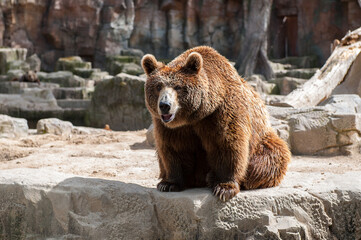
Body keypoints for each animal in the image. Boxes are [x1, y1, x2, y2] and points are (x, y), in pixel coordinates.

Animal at [141, 46, 290, 202]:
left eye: (178, 87)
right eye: (158, 86)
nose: (165, 105)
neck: (195, 116)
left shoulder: (221, 112)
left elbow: (227, 144)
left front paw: (224, 187)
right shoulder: (171, 127)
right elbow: (174, 148)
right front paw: (169, 184)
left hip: (262, 142)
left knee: (270, 157)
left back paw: (213, 177)